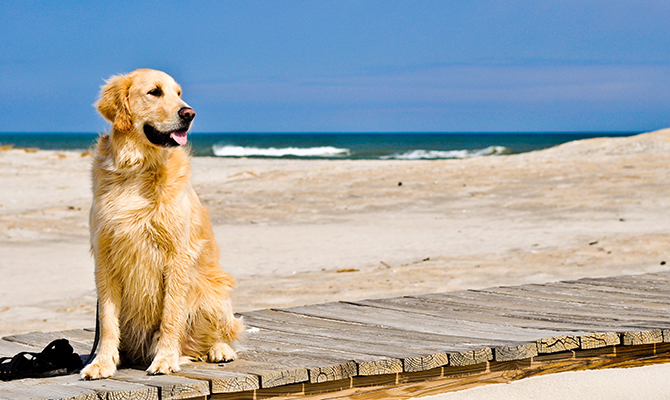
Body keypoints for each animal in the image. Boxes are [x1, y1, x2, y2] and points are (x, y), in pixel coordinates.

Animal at [81, 69, 244, 382]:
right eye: (154, 92)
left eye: (178, 93)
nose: (189, 113)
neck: (136, 168)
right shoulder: (105, 258)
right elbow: (107, 320)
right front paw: (102, 362)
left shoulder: (177, 256)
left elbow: (171, 315)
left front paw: (166, 359)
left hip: (213, 291)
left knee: (218, 334)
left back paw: (219, 350)